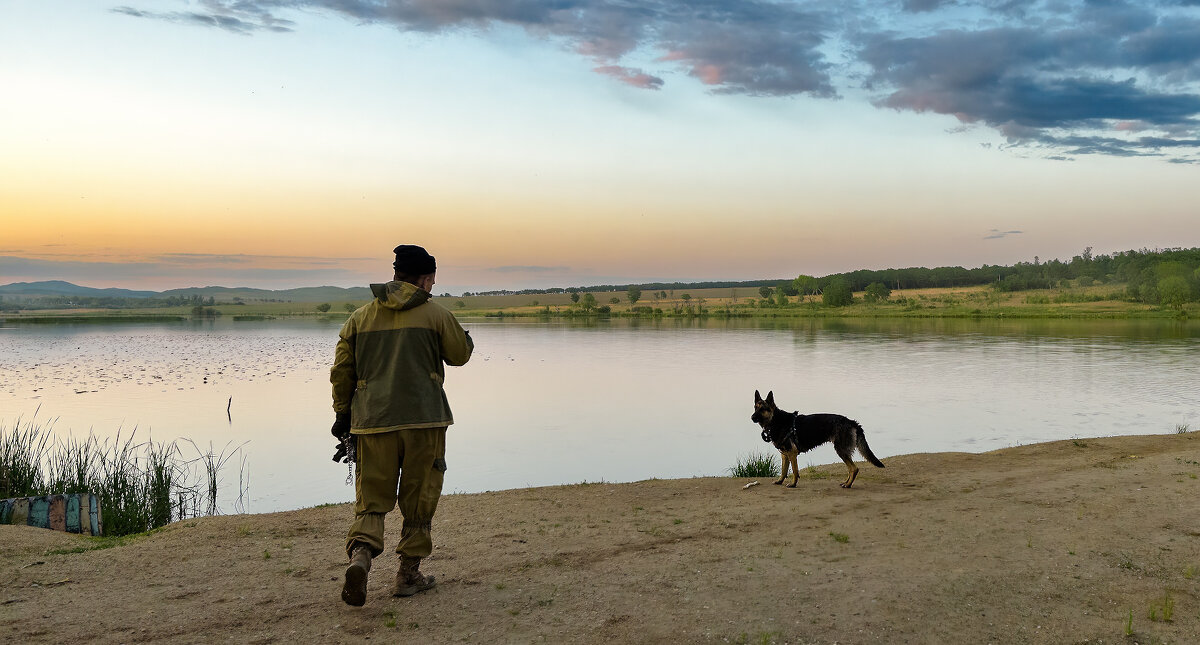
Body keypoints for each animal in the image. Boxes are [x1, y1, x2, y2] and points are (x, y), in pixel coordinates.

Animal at [748, 386, 883, 486]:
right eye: (755, 408)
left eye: (763, 409)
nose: (752, 417)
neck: (776, 420)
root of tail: (852, 422)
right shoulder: (785, 454)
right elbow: (783, 470)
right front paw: (780, 481)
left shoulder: (792, 453)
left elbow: (795, 471)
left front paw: (793, 484)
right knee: (851, 469)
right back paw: (846, 482)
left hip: (841, 450)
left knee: (854, 469)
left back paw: (848, 485)